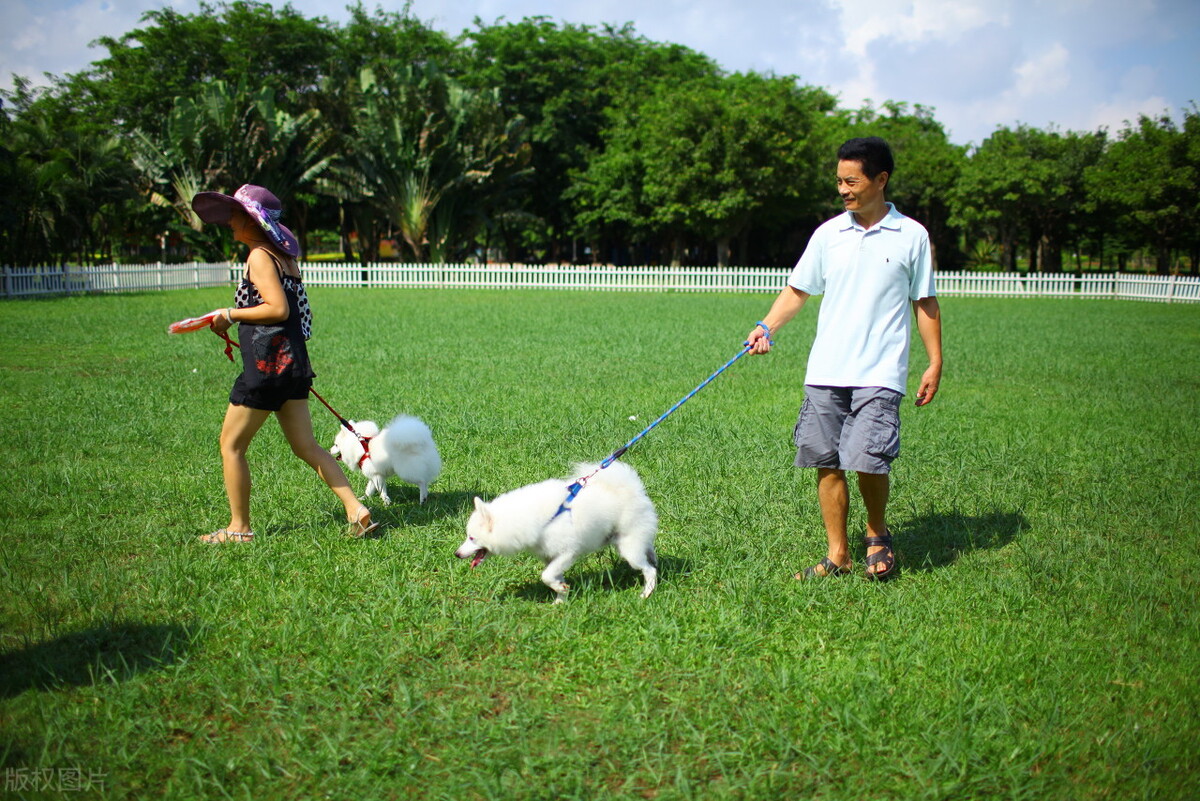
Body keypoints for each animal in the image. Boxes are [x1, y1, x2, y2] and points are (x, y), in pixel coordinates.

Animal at [453, 460, 657, 604]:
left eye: (472, 538)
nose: (456, 554)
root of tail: (633, 489)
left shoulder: (567, 553)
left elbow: (545, 576)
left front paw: (560, 593)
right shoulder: (550, 557)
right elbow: (553, 577)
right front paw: (561, 598)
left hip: (629, 549)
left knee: (649, 570)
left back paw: (646, 593)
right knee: (650, 554)